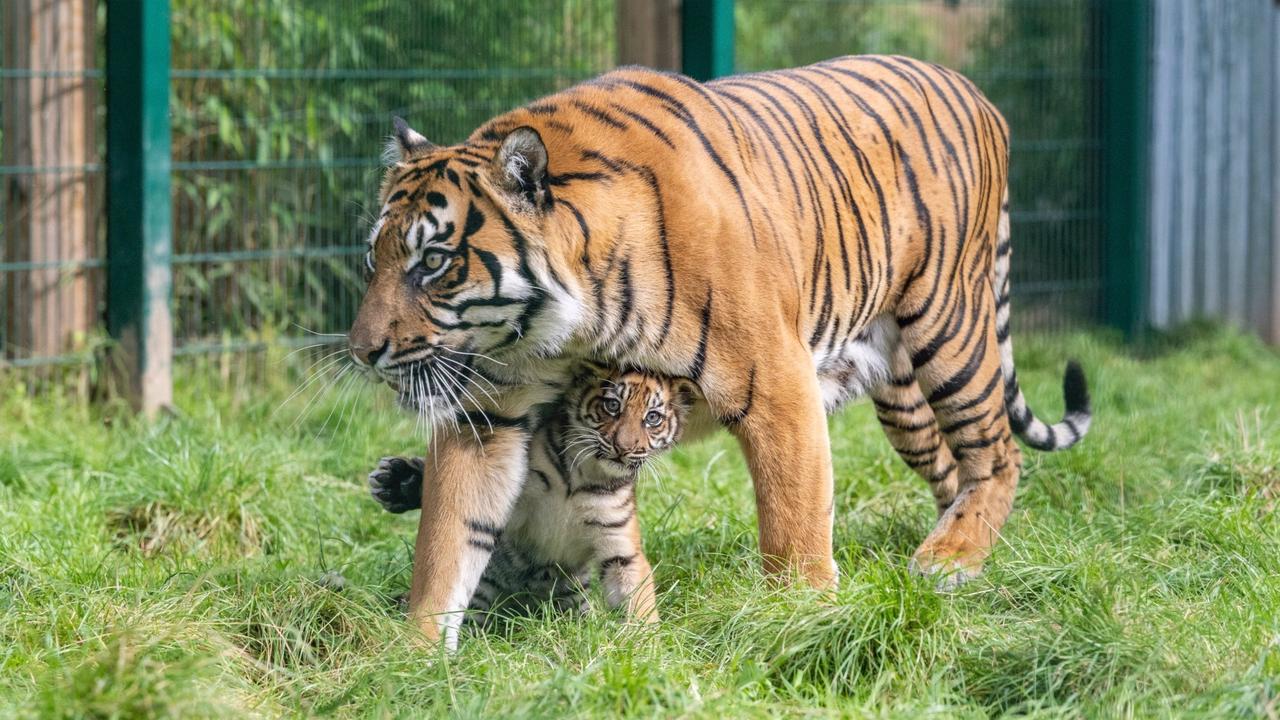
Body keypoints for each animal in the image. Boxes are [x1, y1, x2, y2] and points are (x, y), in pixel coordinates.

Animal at [348, 53, 1090, 640]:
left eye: (433, 263)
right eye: (373, 261)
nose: (362, 351)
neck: (563, 327)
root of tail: (974, 91)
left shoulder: (778, 383)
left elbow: (793, 522)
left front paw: (807, 622)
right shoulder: (490, 407)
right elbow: (449, 541)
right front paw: (413, 661)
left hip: (950, 325)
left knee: (996, 455)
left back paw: (949, 560)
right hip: (899, 391)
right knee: (950, 470)